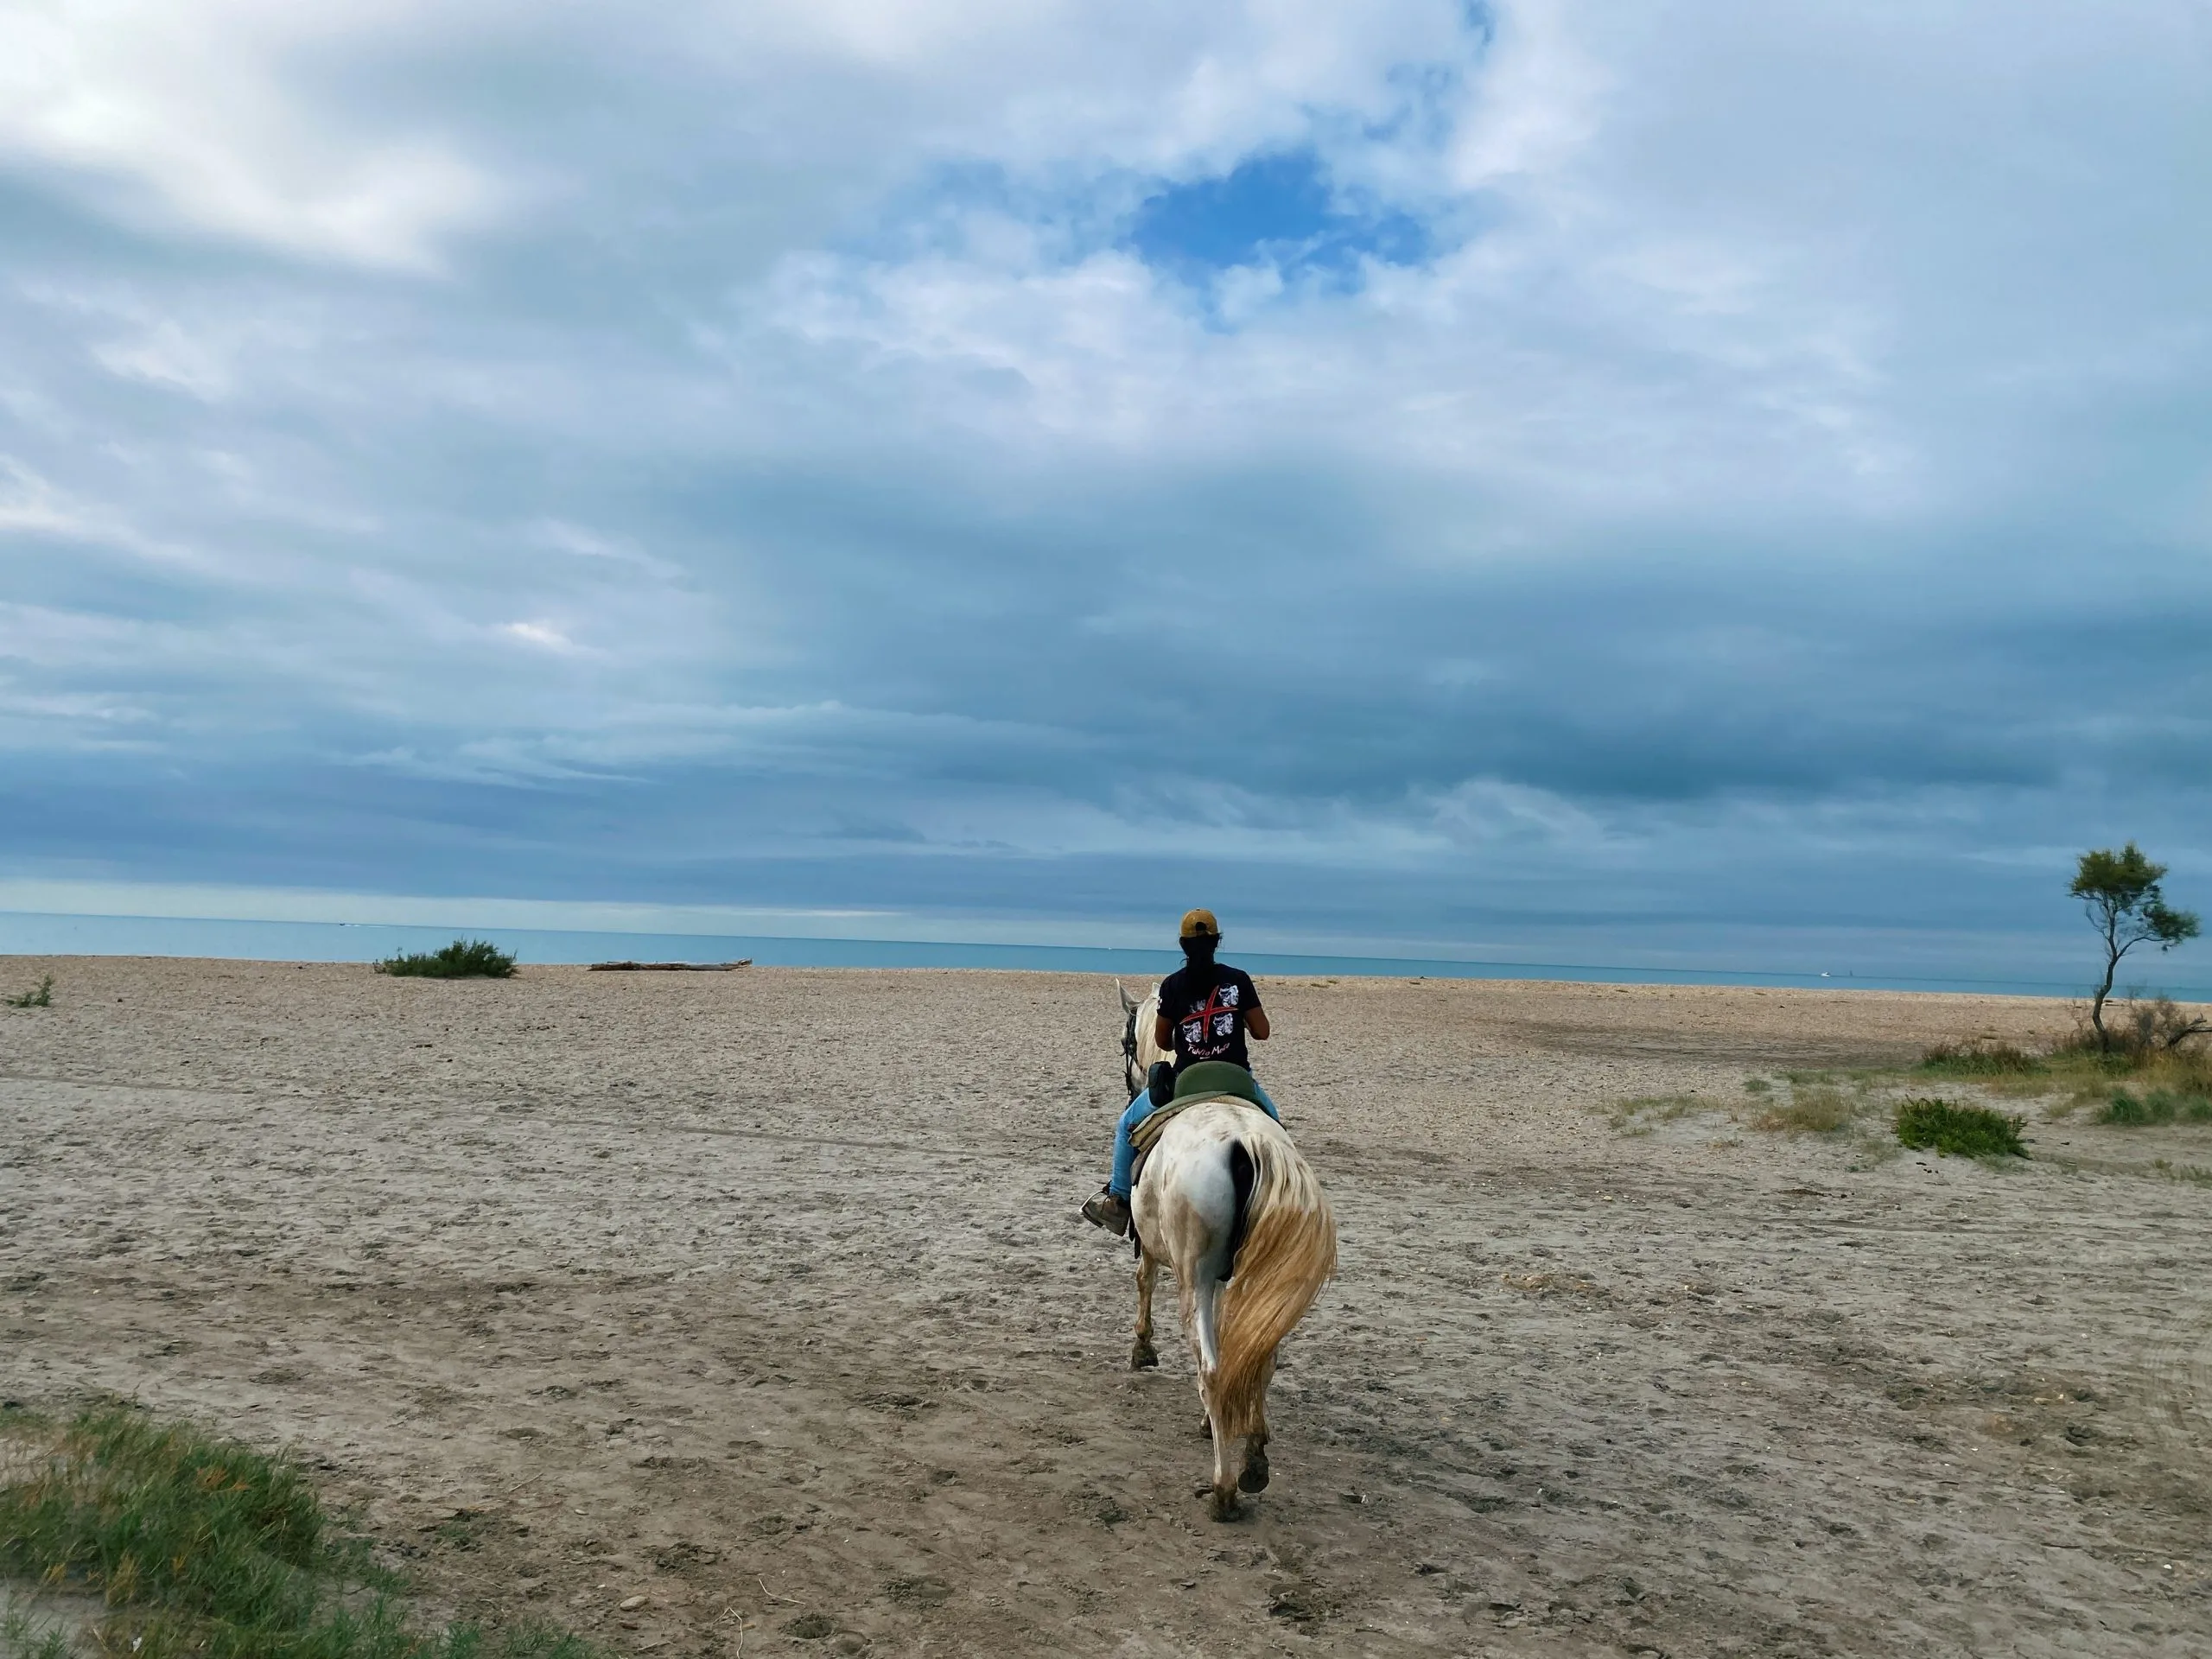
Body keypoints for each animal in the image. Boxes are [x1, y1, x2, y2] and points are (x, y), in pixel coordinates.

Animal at [1132, 1096, 1336, 1530]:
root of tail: (1248, 1142)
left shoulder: (1156, 1249)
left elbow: (1145, 1279)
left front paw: (1142, 1348)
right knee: (1259, 1359)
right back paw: (1253, 1461)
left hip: (1195, 1280)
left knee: (1211, 1370)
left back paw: (1223, 1491)